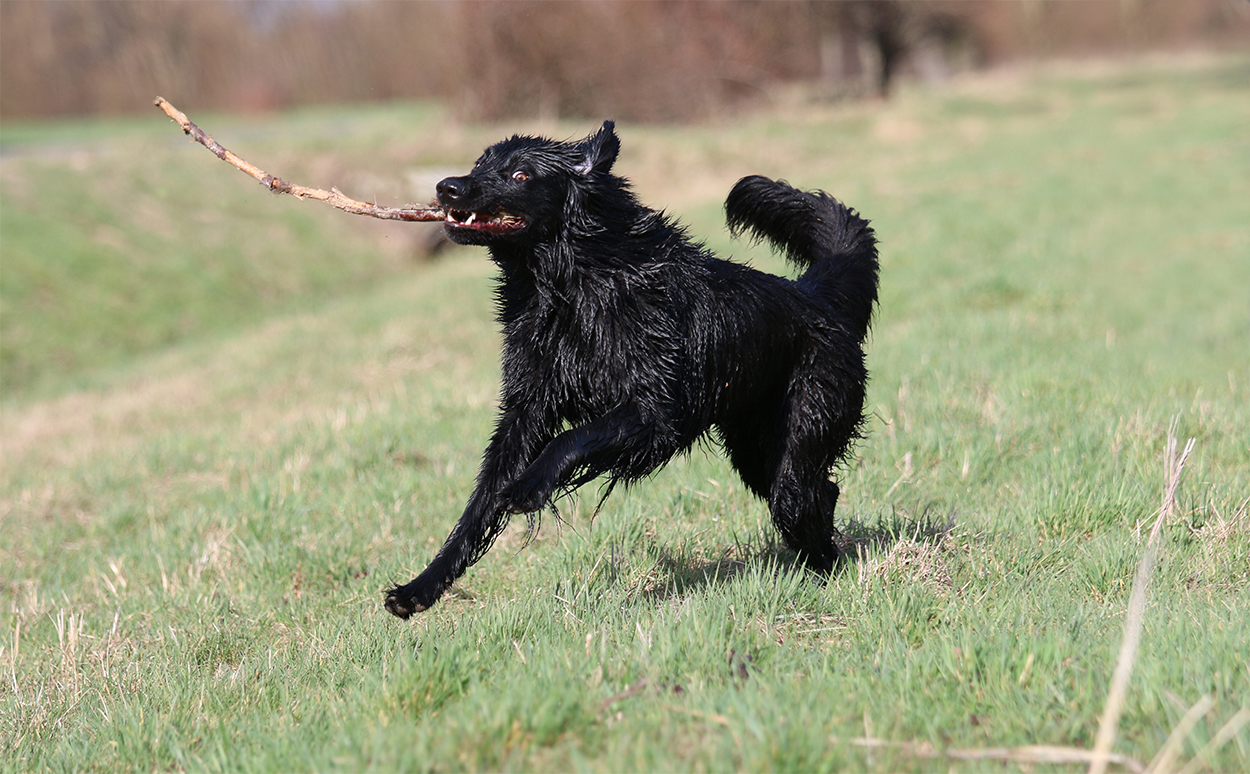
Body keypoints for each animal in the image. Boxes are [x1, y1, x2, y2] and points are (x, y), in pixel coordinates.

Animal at [385, 121, 878, 618]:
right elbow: (478, 507)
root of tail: (818, 297)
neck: (570, 287)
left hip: (806, 422)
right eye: (479, 164)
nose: (446, 187)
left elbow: (568, 441)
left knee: (798, 497)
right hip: (754, 448)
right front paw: (419, 589)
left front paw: (529, 488)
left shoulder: (655, 414)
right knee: (817, 492)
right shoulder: (526, 412)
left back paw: (827, 570)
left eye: (521, 175)